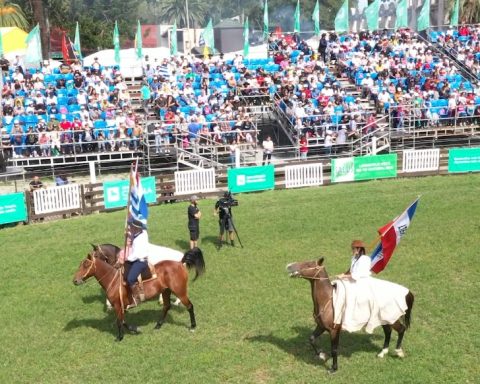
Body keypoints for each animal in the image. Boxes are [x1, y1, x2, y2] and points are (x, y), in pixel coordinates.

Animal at [72, 248, 204, 340]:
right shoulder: (121, 307)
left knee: (189, 306)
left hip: (180, 292)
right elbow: (123, 321)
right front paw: (134, 329)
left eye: (86, 265)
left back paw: (193, 326)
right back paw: (158, 325)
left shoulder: (118, 305)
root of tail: (180, 263)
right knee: (166, 306)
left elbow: (120, 321)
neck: (114, 280)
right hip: (166, 291)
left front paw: (120, 337)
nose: (75, 281)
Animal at [286, 258, 414, 372]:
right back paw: (382, 353)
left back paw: (399, 352)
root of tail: (407, 292)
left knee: (401, 329)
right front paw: (322, 355)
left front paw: (333, 368)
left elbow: (334, 349)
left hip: (392, 319)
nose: (289, 266)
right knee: (388, 332)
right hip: (383, 320)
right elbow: (311, 339)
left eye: (308, 264)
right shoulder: (321, 326)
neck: (329, 300)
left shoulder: (334, 330)